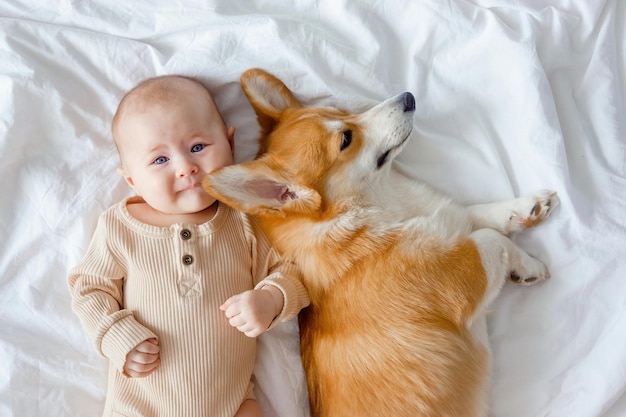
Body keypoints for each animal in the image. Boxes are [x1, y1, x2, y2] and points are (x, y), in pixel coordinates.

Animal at [204, 69, 556, 416]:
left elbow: (477, 213)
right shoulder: (458, 278)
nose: (408, 97)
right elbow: (489, 237)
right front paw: (529, 263)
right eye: (346, 139)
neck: (376, 205)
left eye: (342, 111)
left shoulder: (448, 219)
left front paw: (528, 216)